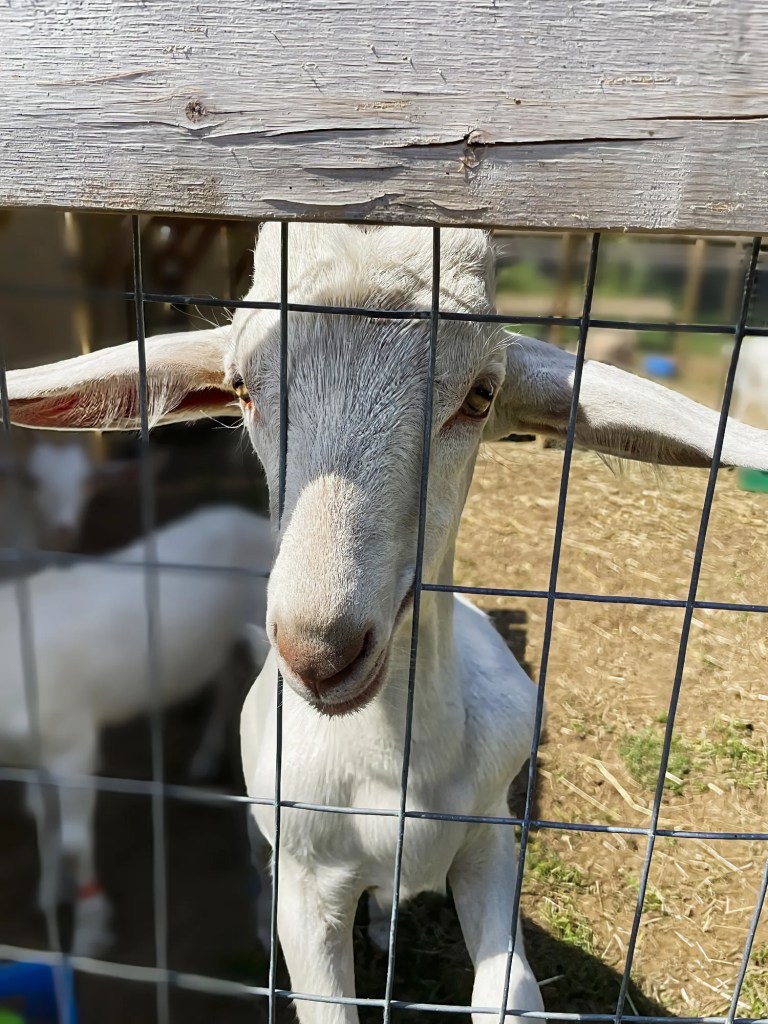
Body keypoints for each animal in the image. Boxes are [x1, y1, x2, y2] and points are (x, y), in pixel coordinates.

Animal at [0, 504, 271, 957]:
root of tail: (251, 520)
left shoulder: (72, 742)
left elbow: (74, 843)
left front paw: (90, 932)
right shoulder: (34, 752)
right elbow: (44, 819)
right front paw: (51, 893)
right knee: (227, 685)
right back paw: (206, 756)